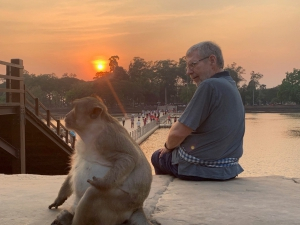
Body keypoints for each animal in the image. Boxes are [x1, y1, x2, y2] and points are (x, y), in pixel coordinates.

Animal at [49, 96, 154, 225]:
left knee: (92, 194)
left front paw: (101, 183)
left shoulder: (107, 138)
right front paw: (59, 198)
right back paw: (66, 218)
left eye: (75, 108)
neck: (90, 132)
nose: (66, 115)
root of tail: (138, 207)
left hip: (122, 203)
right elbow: (74, 168)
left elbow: (129, 158)